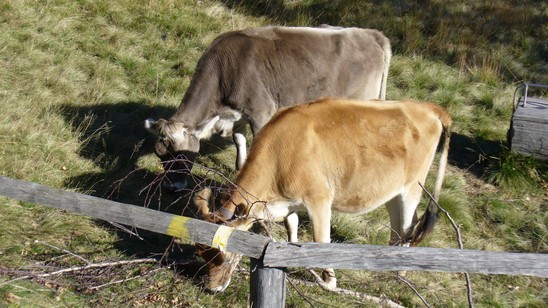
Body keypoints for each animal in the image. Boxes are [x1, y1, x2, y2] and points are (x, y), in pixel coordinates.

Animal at [193, 99, 450, 294]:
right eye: (201, 253)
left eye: (225, 257)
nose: (211, 288)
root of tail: (429, 108)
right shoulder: (290, 203)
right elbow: (292, 227)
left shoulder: (318, 199)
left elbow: (322, 240)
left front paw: (330, 282)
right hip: (392, 192)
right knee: (400, 227)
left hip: (412, 188)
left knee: (408, 227)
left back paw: (400, 275)